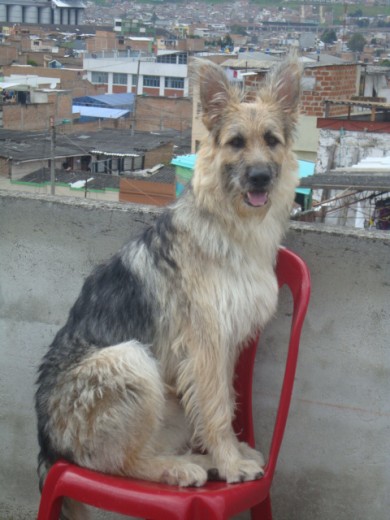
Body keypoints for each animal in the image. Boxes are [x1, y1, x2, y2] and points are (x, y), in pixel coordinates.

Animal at [35, 54, 302, 516]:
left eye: (271, 140)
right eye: (236, 143)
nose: (259, 178)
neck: (229, 226)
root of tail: (50, 446)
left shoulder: (225, 345)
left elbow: (224, 402)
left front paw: (228, 454)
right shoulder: (206, 341)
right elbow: (216, 408)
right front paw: (230, 463)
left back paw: (196, 460)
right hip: (128, 360)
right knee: (120, 463)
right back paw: (178, 469)